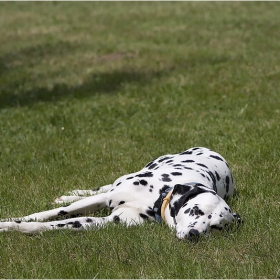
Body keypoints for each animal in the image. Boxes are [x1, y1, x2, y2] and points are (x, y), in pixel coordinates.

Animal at [0, 148, 241, 240]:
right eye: (195, 210)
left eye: (216, 227)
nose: (195, 234)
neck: (154, 199)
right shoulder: (106, 198)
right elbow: (53, 213)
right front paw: (11, 220)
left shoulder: (105, 221)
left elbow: (52, 224)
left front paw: (18, 227)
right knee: (102, 187)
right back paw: (72, 194)